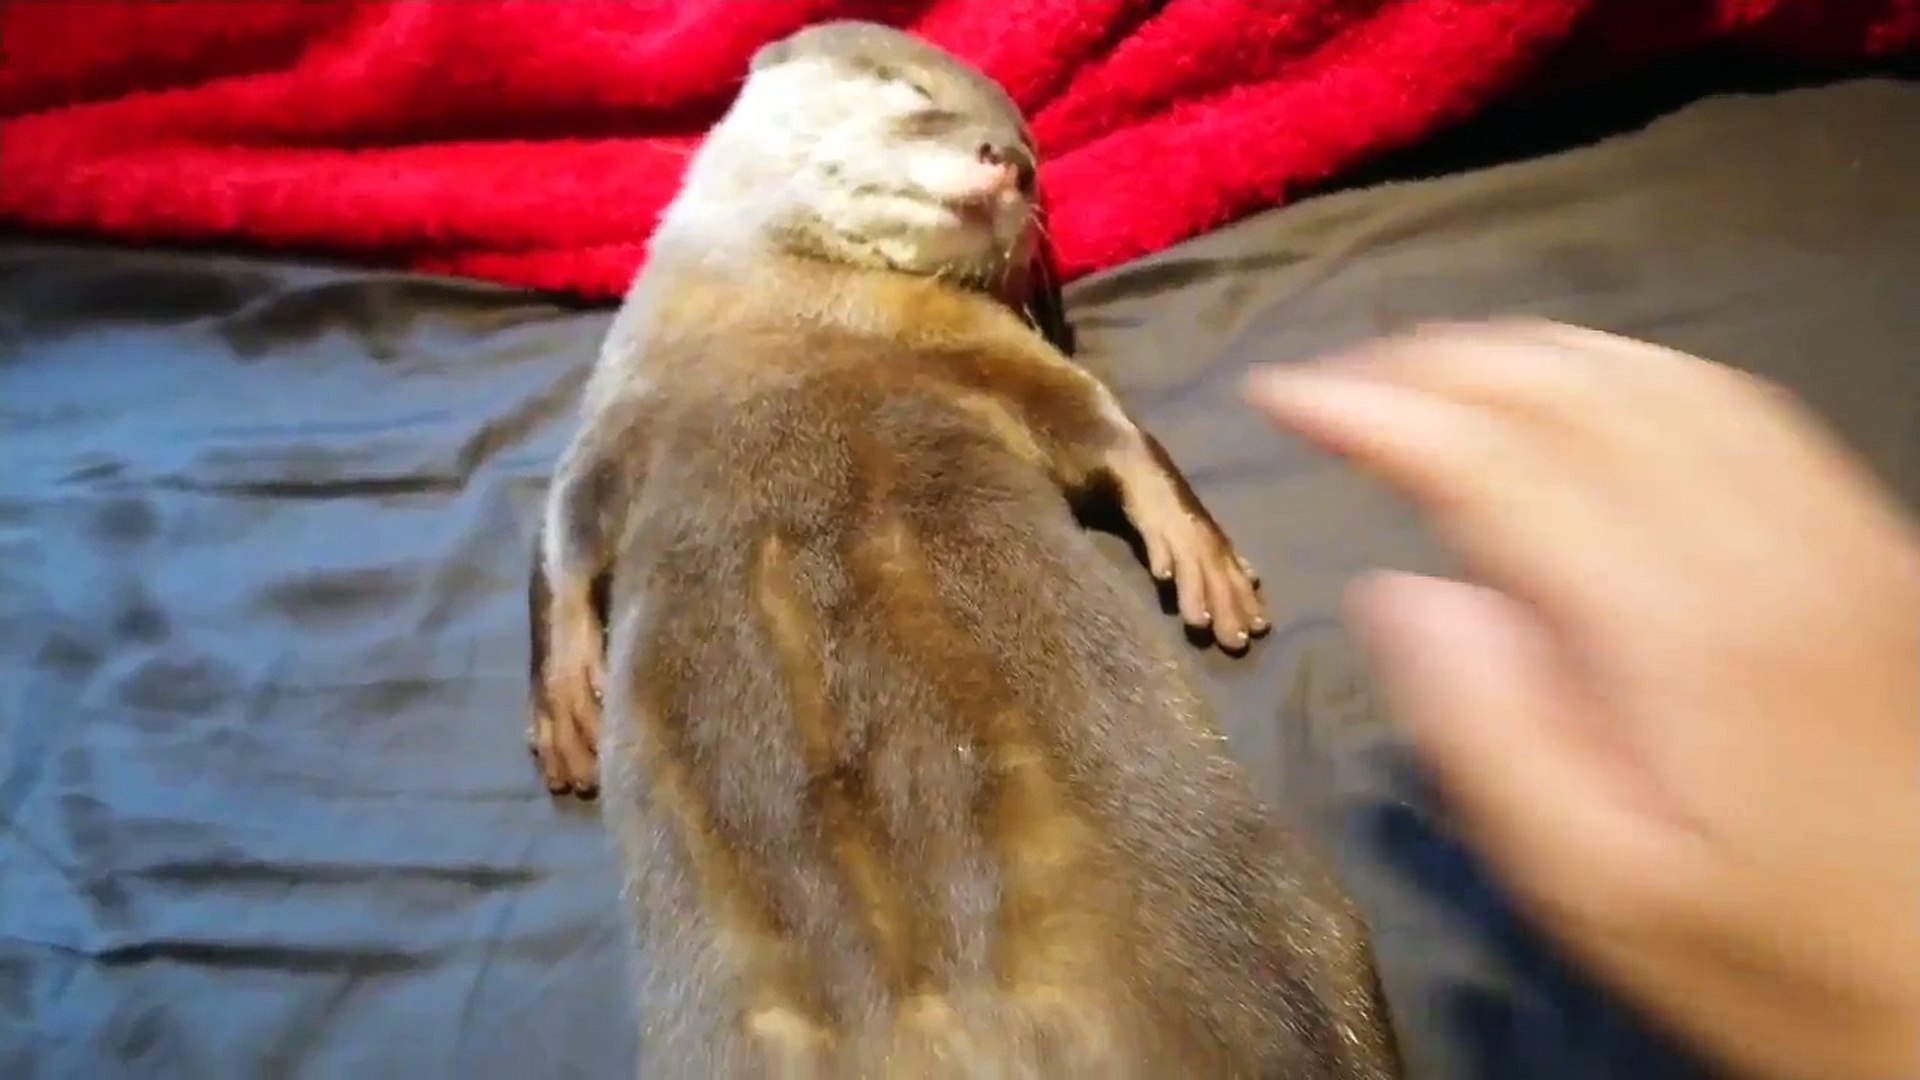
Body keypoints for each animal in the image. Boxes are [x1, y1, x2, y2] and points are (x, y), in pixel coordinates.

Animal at [525, 20, 1400, 1080]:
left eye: (1031, 149)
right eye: (916, 95)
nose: (1009, 163)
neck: (786, 313)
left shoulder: (985, 350)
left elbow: (1103, 426)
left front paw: (1204, 561)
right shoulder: (621, 405)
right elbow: (563, 534)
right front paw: (569, 706)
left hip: (1305, 923)